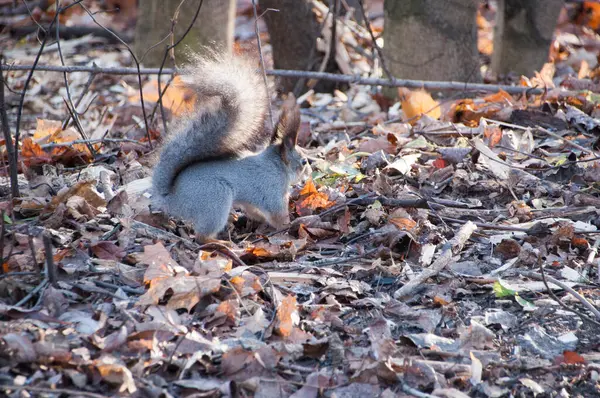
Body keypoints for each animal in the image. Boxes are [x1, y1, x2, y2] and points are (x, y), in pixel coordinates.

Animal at [152, 54, 308, 241]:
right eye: (304, 162)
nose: (307, 176)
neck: (277, 165)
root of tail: (172, 198)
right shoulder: (272, 191)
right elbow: (279, 217)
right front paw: (290, 226)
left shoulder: (253, 200)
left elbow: (254, 210)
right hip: (216, 200)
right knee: (201, 237)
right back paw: (223, 243)